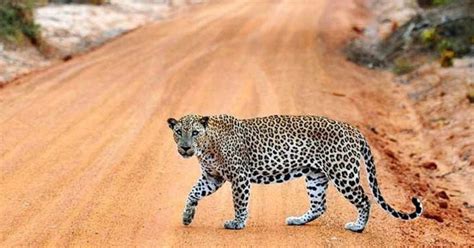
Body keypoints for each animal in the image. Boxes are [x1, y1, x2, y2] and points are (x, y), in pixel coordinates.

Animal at [167, 114, 422, 232]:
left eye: (195, 132)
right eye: (179, 132)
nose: (186, 147)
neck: (207, 146)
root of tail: (353, 129)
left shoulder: (239, 177)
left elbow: (240, 203)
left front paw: (237, 223)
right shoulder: (212, 177)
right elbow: (193, 193)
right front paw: (187, 216)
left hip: (343, 173)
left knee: (365, 199)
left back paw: (357, 227)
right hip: (315, 176)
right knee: (320, 205)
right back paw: (297, 220)